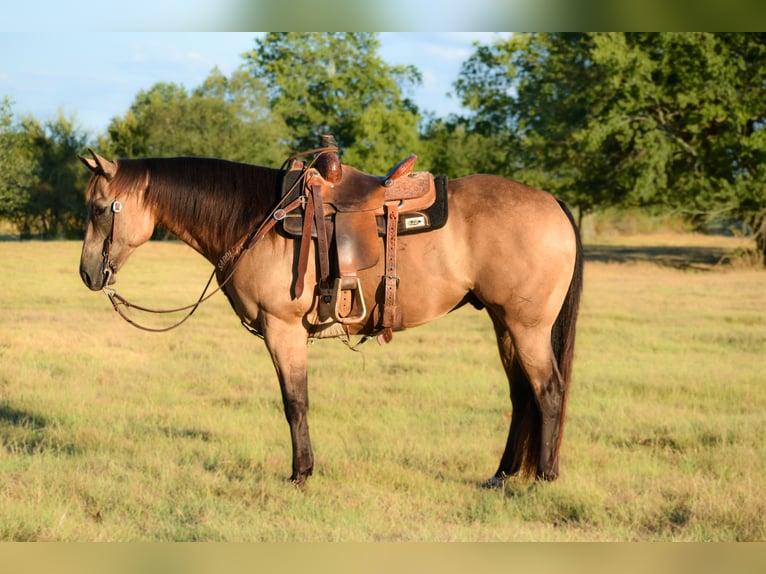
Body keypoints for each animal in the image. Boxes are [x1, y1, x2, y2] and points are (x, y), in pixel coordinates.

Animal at [77, 149, 583, 488]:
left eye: (100, 208)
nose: (87, 273)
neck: (257, 220)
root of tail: (553, 202)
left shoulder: (282, 330)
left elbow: (294, 403)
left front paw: (300, 474)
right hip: (503, 323)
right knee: (522, 396)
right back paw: (502, 475)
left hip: (527, 327)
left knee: (548, 391)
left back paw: (545, 478)